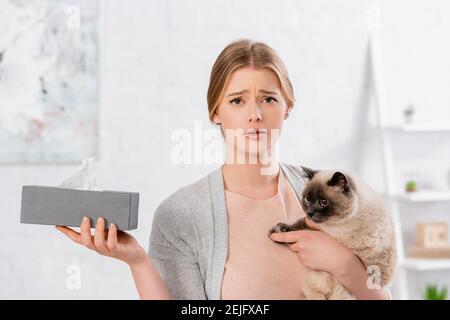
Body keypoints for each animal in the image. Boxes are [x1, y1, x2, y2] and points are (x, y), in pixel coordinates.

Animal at [268, 166, 396, 298]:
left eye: (323, 202)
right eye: (308, 200)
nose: (310, 213)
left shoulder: (326, 232)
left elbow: (299, 227)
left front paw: (278, 232)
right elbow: (299, 223)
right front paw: (278, 230)